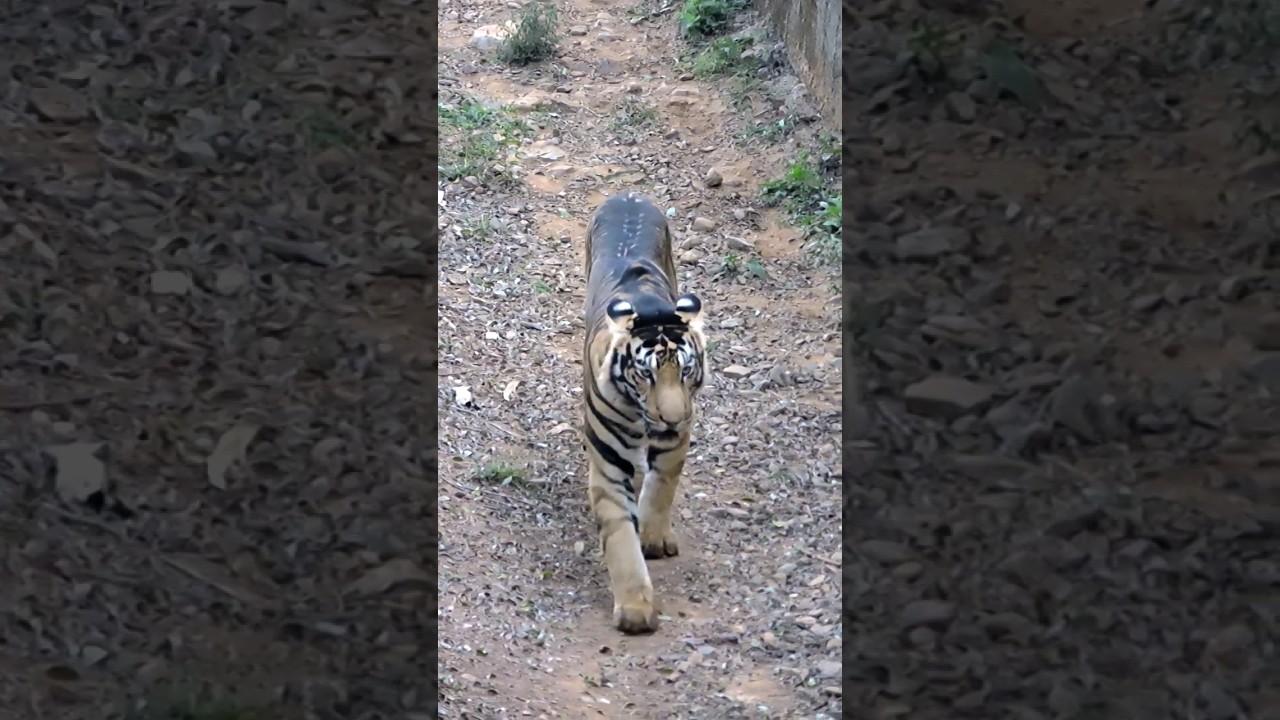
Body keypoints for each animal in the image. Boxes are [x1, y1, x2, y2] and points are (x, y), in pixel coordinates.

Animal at [580, 191, 708, 634]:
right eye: (646, 375)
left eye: (685, 370)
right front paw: (635, 610)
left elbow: (661, 487)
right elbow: (620, 536)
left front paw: (653, 537)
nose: (672, 418)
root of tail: (626, 194)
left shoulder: (676, 441)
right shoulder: (608, 464)